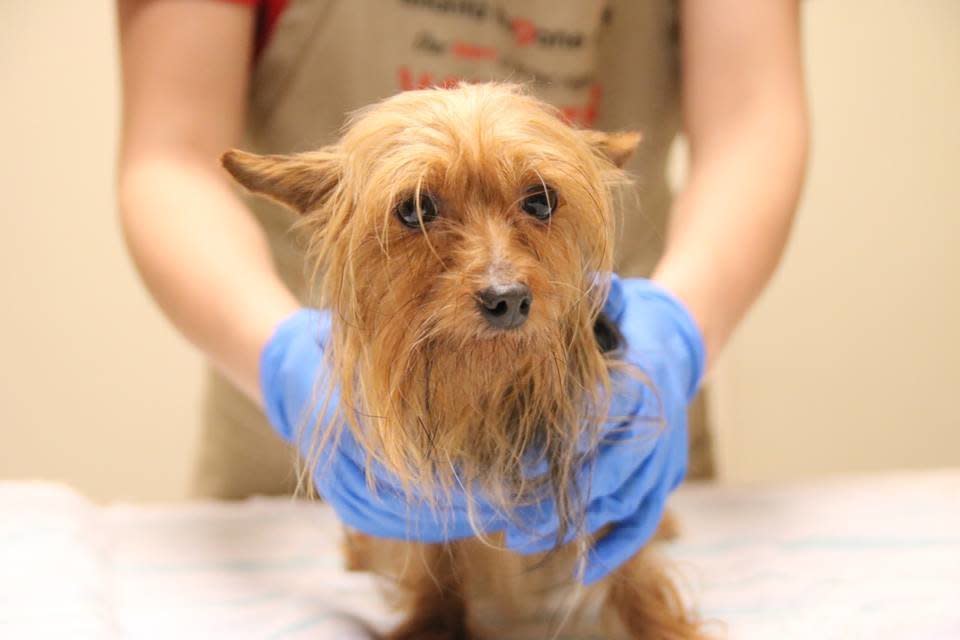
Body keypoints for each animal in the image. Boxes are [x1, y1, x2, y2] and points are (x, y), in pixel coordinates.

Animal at [223, 82, 704, 636]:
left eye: (541, 201)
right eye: (414, 210)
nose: (507, 298)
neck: (482, 389)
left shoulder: (610, 487)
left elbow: (633, 567)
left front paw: (662, 627)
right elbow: (435, 561)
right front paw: (431, 622)